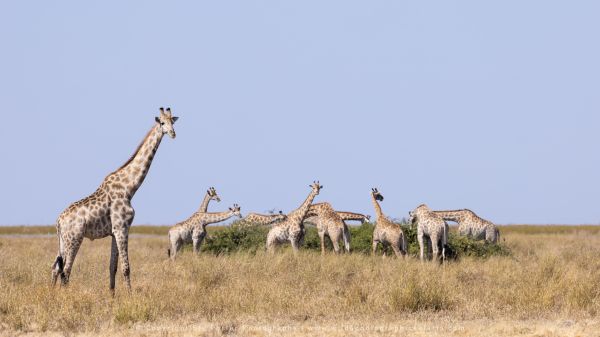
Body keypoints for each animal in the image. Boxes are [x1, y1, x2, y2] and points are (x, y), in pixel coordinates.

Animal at [51, 107, 178, 292]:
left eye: (172, 121)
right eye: (162, 123)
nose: (173, 133)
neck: (129, 188)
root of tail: (59, 221)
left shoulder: (114, 231)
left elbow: (112, 267)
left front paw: (112, 295)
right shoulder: (122, 228)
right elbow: (126, 267)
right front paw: (130, 295)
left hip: (62, 240)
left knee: (55, 268)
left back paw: (52, 293)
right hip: (74, 238)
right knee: (65, 271)